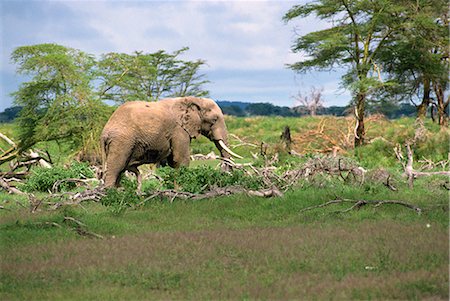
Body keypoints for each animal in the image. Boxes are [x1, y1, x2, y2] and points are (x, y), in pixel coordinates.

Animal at [100, 96, 241, 188]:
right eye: (215, 119)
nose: (226, 174)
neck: (194, 100)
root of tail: (104, 133)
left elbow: (173, 162)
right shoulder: (179, 130)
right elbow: (181, 159)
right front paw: (181, 191)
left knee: (119, 170)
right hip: (121, 142)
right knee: (116, 168)